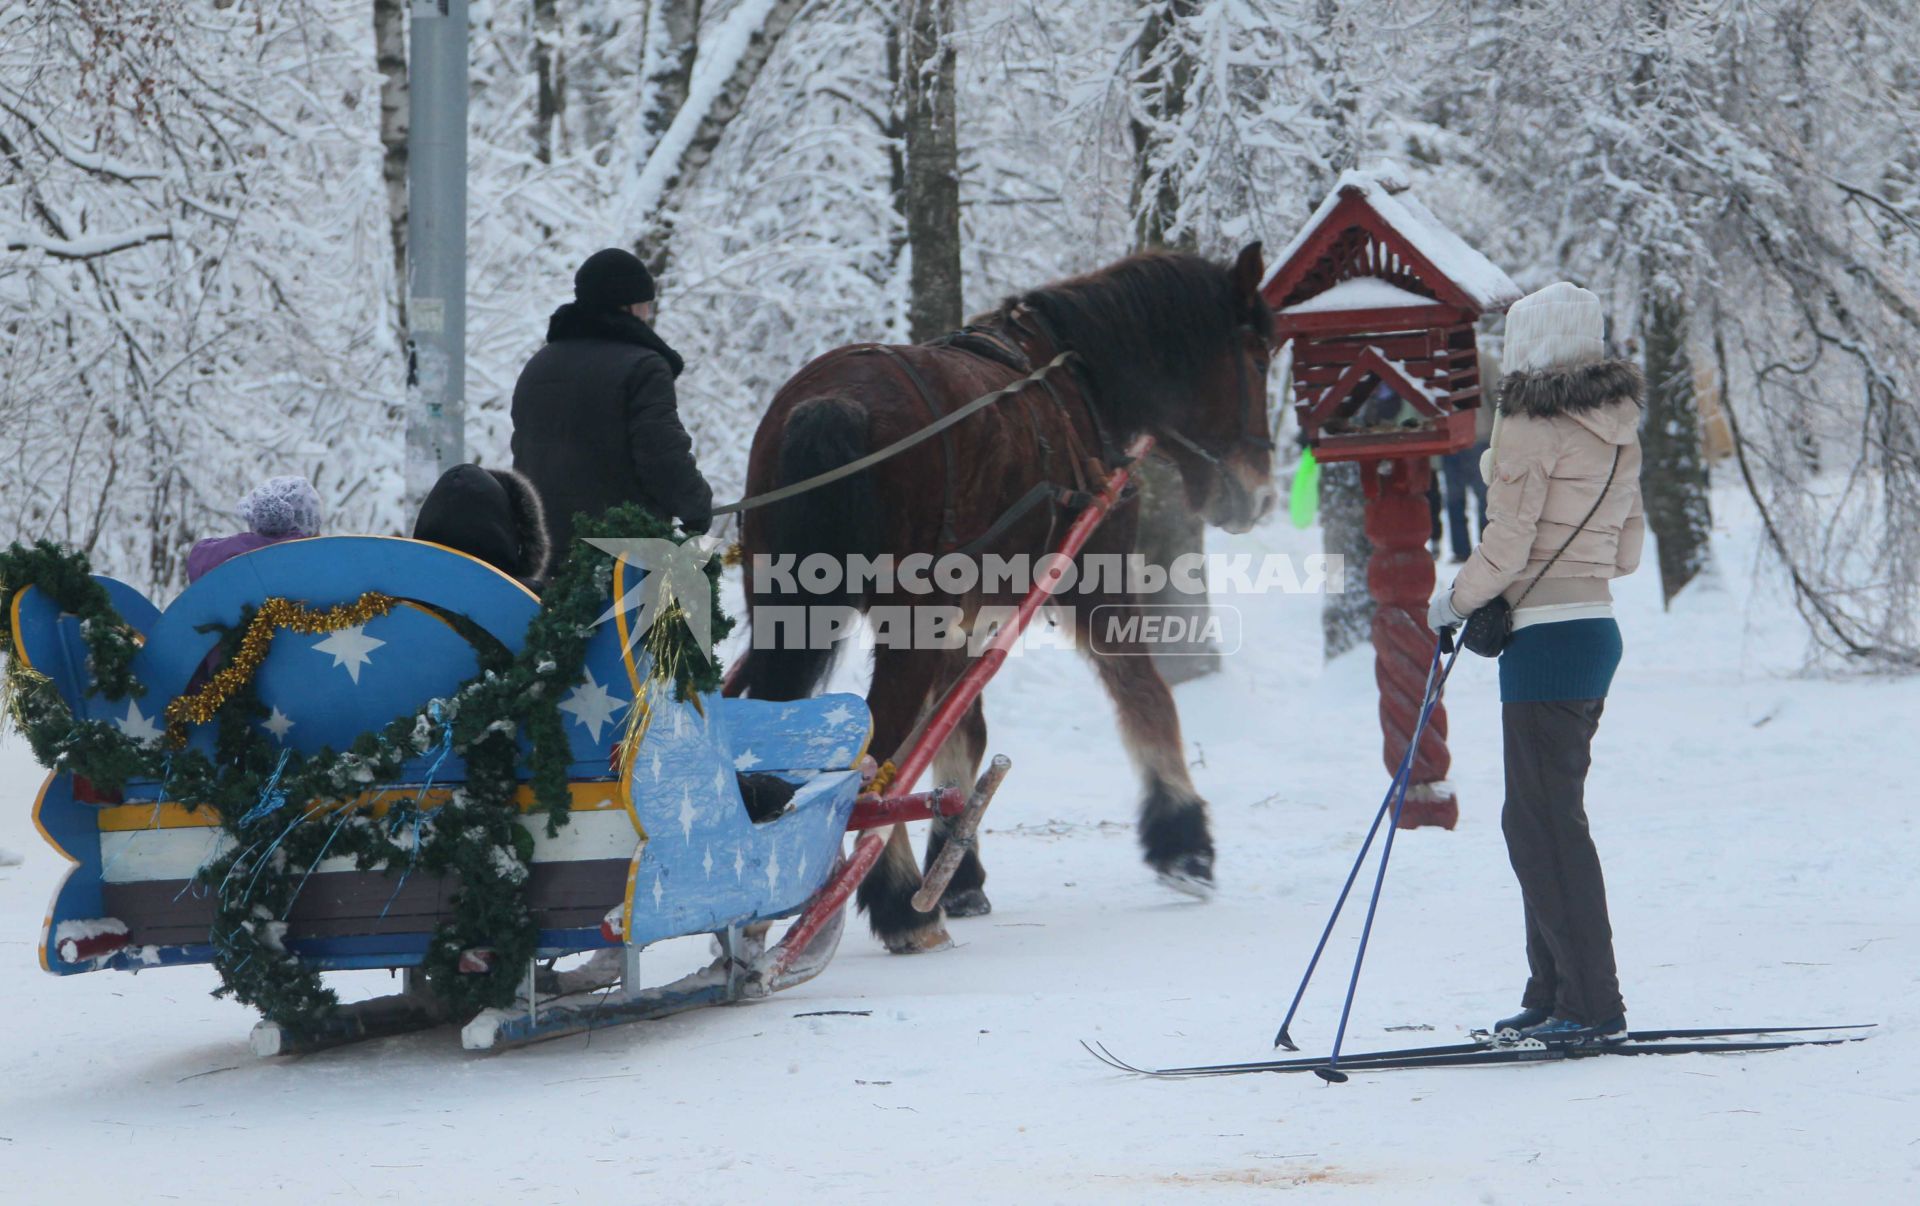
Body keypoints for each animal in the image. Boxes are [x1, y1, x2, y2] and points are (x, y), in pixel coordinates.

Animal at [721, 249, 1274, 956]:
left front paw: (958, 872)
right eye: (1257, 356)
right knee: (875, 755)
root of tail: (830, 402)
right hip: (906, 624)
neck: (1076, 378)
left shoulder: (962, 622)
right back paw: (900, 904)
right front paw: (1185, 846)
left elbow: (960, 734)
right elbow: (1145, 694)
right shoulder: (1092, 582)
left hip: (787, 610)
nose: (1259, 497)